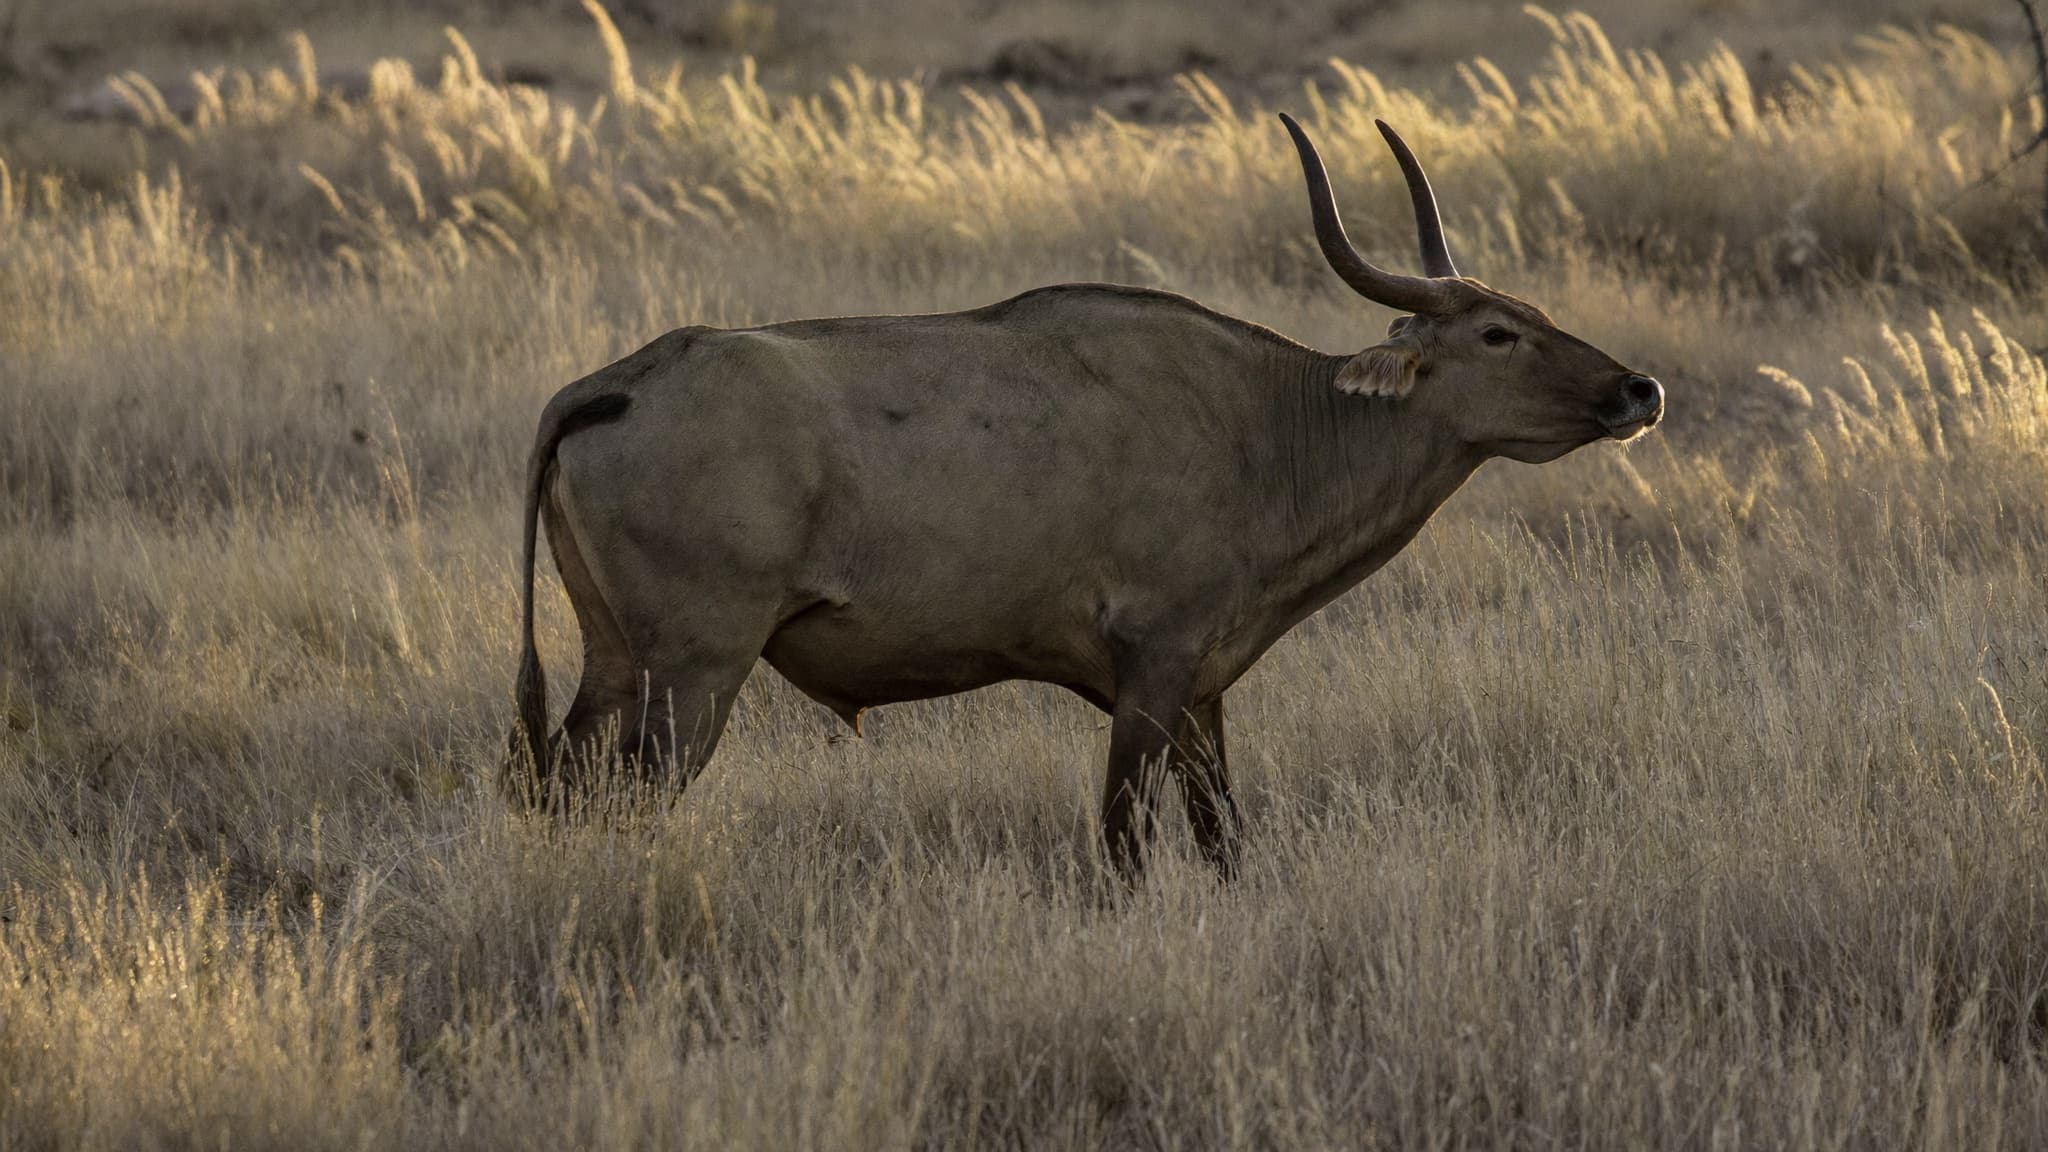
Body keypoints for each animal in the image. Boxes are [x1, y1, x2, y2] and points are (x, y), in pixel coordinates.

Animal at [508, 114, 1664, 878]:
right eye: (1497, 333)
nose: (1636, 391)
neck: (1263, 418)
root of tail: (619, 383)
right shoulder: (1149, 680)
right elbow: (1123, 848)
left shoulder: (1201, 694)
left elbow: (1224, 840)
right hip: (694, 678)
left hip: (617, 667)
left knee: (561, 786)